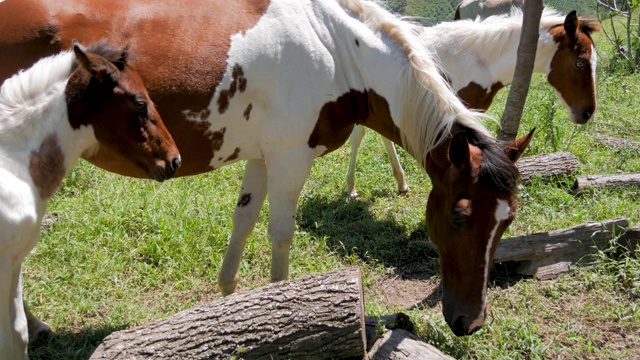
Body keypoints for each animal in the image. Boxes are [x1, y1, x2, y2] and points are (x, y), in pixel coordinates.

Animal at [344, 6, 600, 197]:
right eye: (580, 62)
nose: (587, 112)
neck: (477, 59)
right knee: (360, 136)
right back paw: (352, 187)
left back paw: (400, 183)